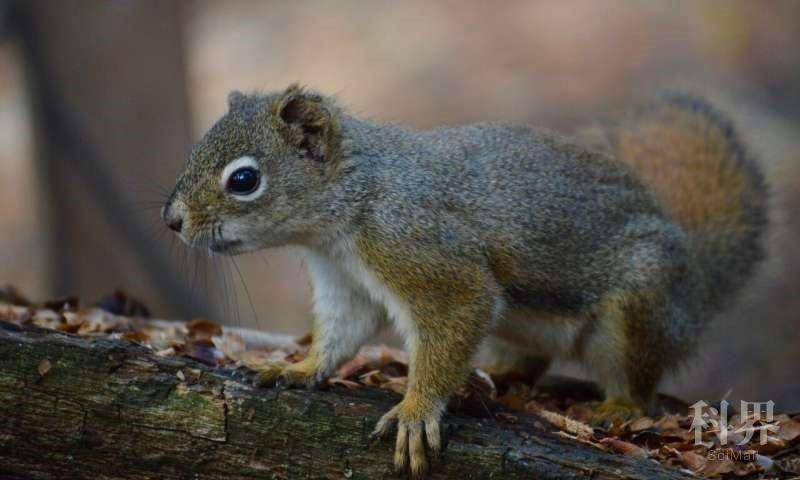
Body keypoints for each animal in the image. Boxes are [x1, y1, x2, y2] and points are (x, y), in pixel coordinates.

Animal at [162, 84, 768, 478]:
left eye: (244, 179)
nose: (172, 220)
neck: (353, 200)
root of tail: (695, 285)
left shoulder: (426, 254)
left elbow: (454, 317)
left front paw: (414, 411)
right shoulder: (343, 282)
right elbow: (341, 333)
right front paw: (297, 369)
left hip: (639, 308)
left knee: (639, 385)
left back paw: (616, 407)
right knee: (529, 359)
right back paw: (499, 375)